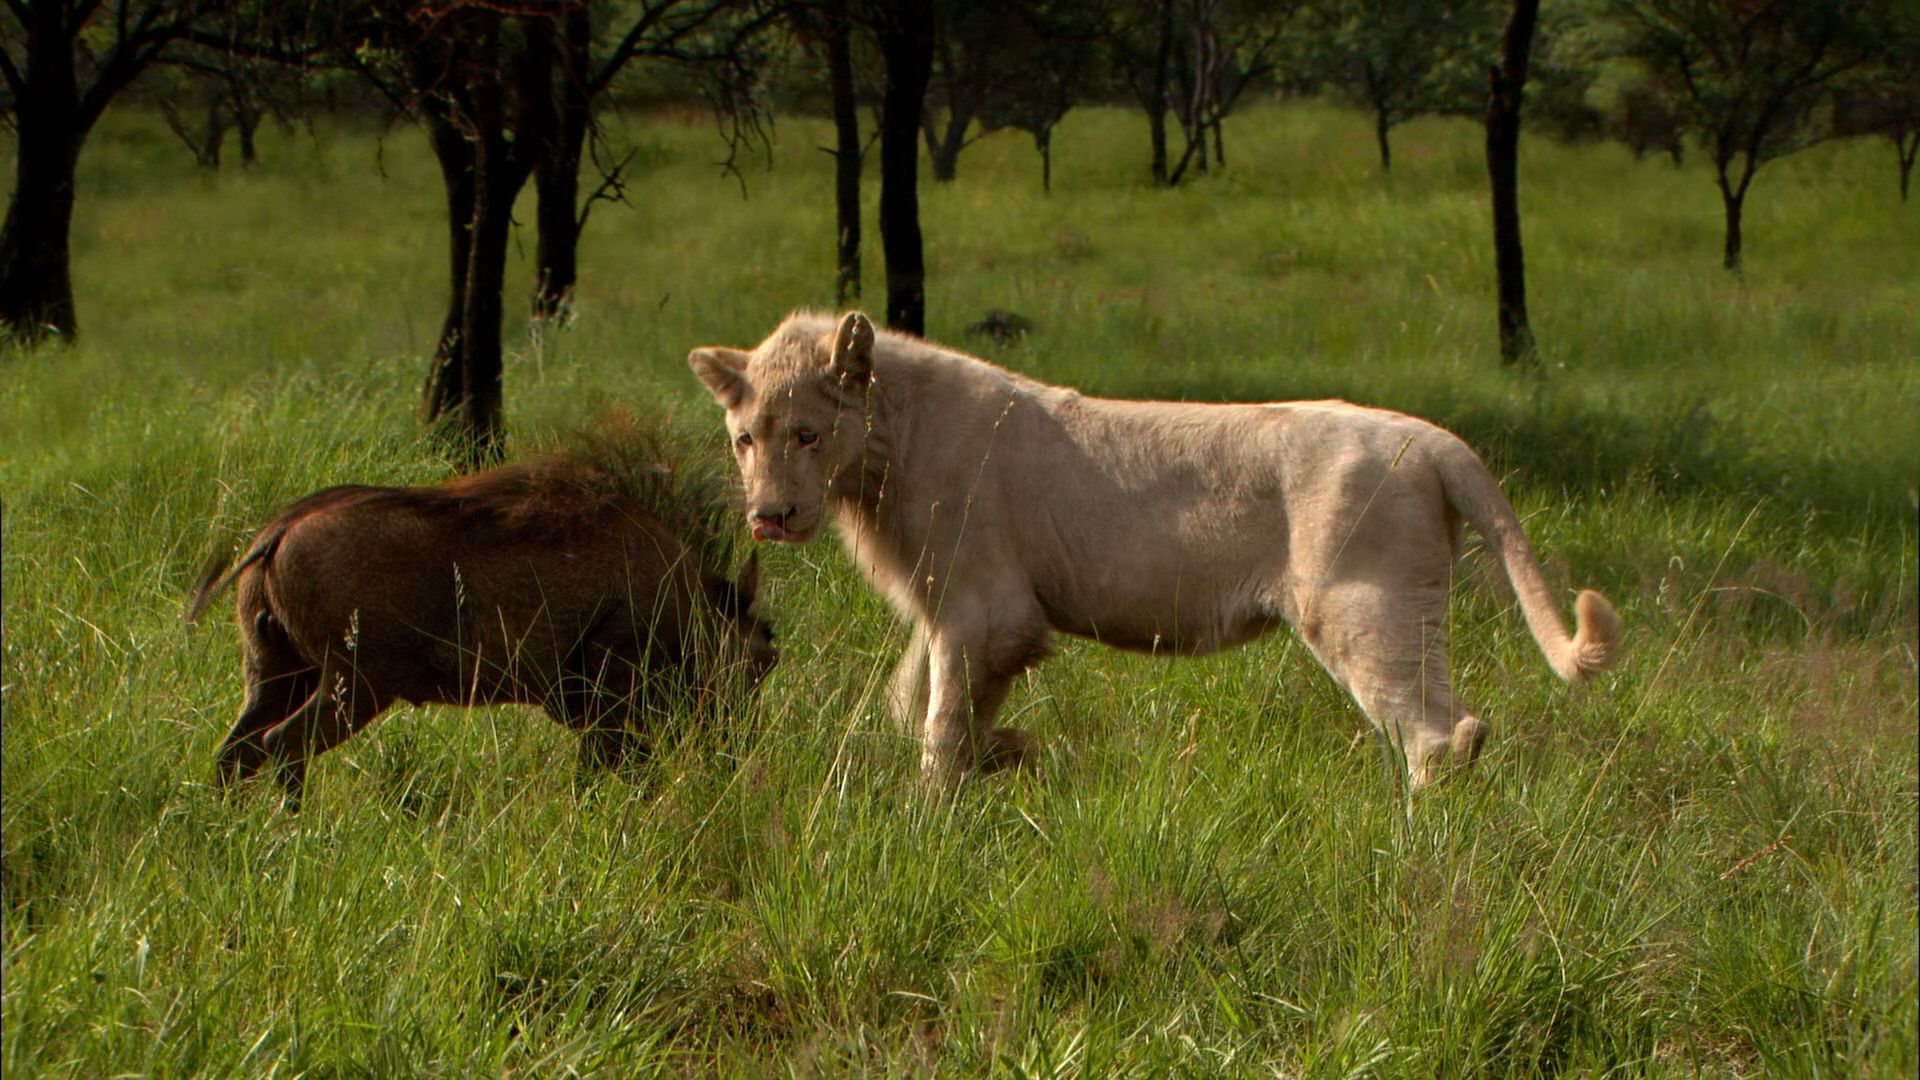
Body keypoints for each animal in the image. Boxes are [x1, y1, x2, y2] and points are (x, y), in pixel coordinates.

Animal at [690, 311, 1619, 791]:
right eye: (744, 438)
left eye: (807, 434)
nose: (769, 517)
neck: (881, 452)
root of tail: (1433, 440)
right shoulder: (978, 621)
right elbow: (929, 703)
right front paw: (1008, 757)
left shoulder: (981, 607)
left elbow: (940, 722)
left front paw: (933, 815)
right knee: (1462, 727)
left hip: (1367, 610)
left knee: (1439, 734)